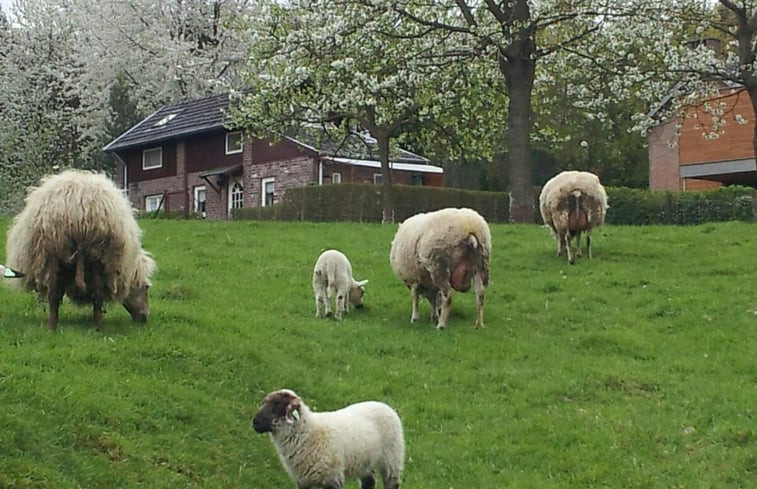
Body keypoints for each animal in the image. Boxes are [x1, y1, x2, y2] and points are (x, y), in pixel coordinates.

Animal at [3, 169, 158, 332]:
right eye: (146, 288)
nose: (144, 318)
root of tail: (77, 210)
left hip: (53, 249)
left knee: (54, 293)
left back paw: (52, 327)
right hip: (99, 254)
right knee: (97, 294)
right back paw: (97, 327)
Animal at [252, 388, 408, 488]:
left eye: (278, 405)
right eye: (264, 402)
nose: (255, 422)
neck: (307, 433)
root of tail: (384, 405)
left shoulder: (333, 478)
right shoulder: (303, 480)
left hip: (392, 458)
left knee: (391, 482)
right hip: (364, 461)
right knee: (369, 481)